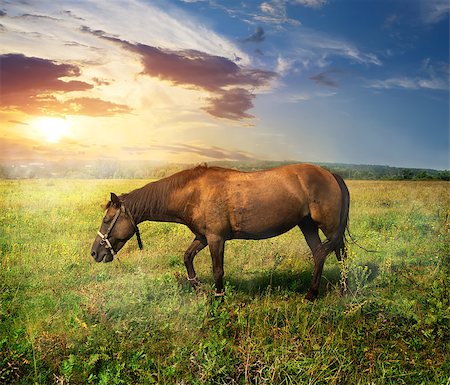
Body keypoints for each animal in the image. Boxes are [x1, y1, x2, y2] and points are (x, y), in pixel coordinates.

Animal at [91, 162, 350, 300]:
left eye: (106, 219)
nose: (94, 253)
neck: (193, 193)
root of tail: (331, 174)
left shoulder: (216, 239)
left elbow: (218, 271)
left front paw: (219, 297)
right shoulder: (202, 237)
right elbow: (187, 257)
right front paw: (196, 286)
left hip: (328, 226)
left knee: (339, 254)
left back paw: (338, 291)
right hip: (307, 225)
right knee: (321, 254)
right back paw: (318, 293)